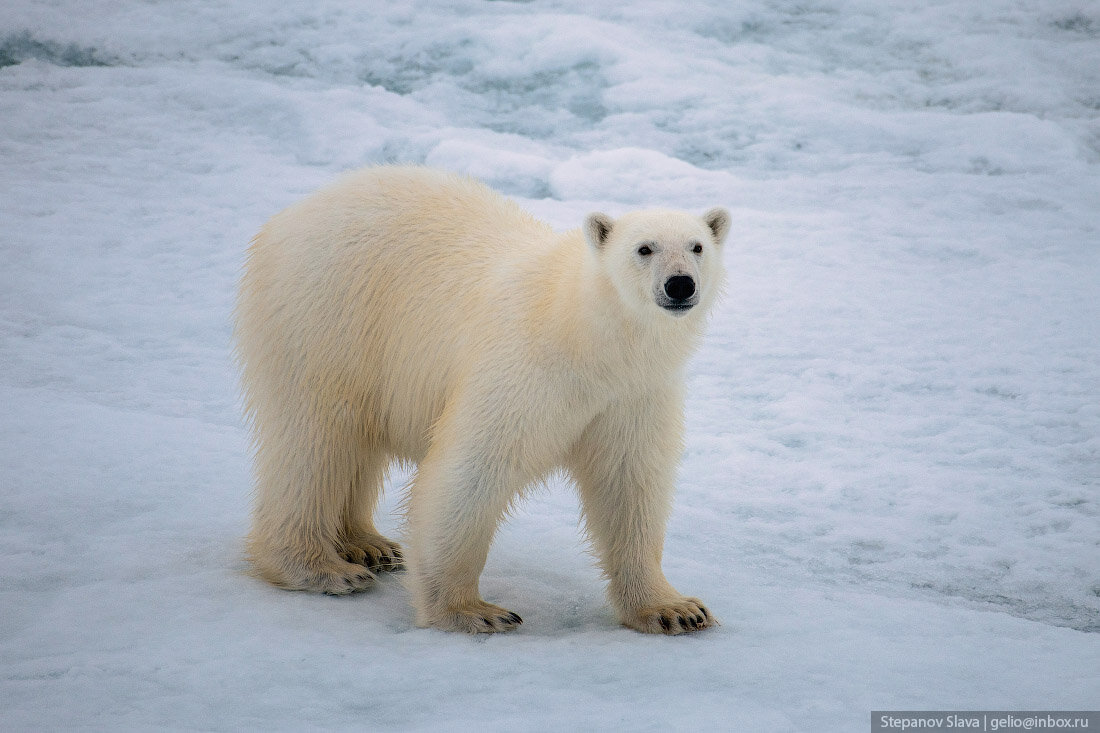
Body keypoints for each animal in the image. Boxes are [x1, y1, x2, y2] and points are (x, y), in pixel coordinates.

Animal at [236, 165, 726, 633]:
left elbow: (629, 482)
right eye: (644, 248)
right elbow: (474, 468)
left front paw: (675, 610)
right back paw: (321, 568)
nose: (680, 284)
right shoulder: (525, 368)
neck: (585, 336)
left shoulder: (633, 392)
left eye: (697, 246)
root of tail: (297, 211)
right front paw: (473, 611)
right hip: (328, 316)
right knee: (316, 439)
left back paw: (369, 545)